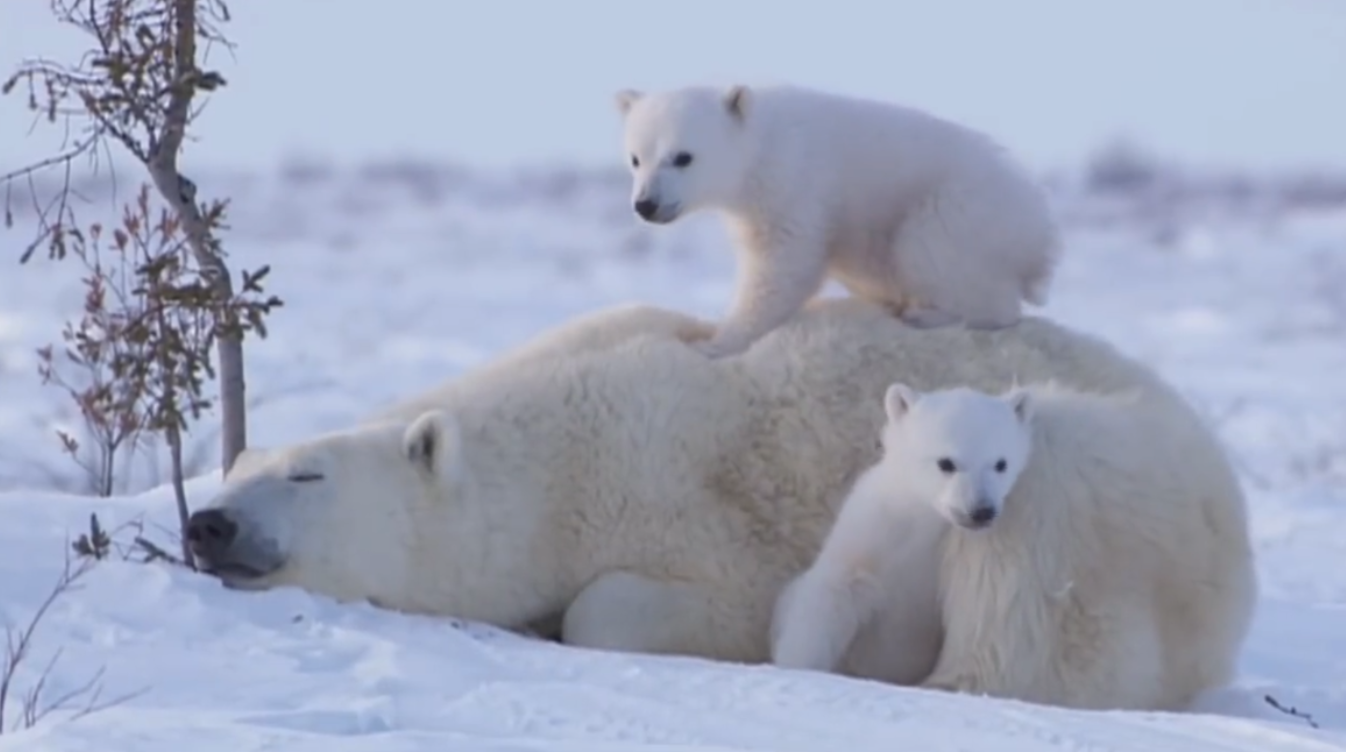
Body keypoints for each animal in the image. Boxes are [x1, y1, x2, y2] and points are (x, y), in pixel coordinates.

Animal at [184, 298, 1254, 704]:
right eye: (235, 466)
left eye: (307, 473)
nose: (209, 523)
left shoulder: (696, 506)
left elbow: (632, 604)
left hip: (1087, 487)